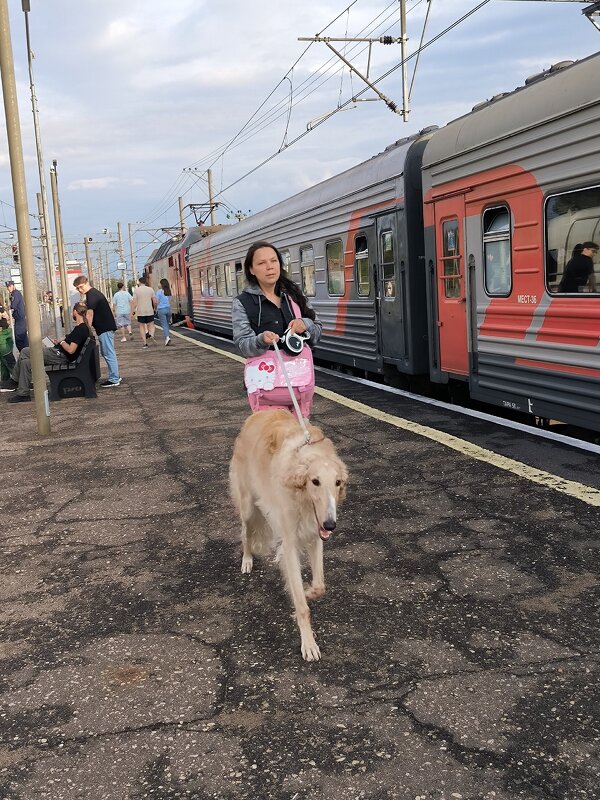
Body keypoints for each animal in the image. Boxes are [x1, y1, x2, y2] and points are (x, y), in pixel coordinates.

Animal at [231, 410, 352, 660]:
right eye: (315, 481)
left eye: (338, 482)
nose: (331, 525)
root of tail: (259, 413)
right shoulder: (289, 544)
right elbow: (302, 606)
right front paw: (309, 644)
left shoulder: (315, 537)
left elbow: (320, 585)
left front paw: (309, 591)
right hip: (247, 506)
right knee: (245, 533)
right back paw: (247, 560)